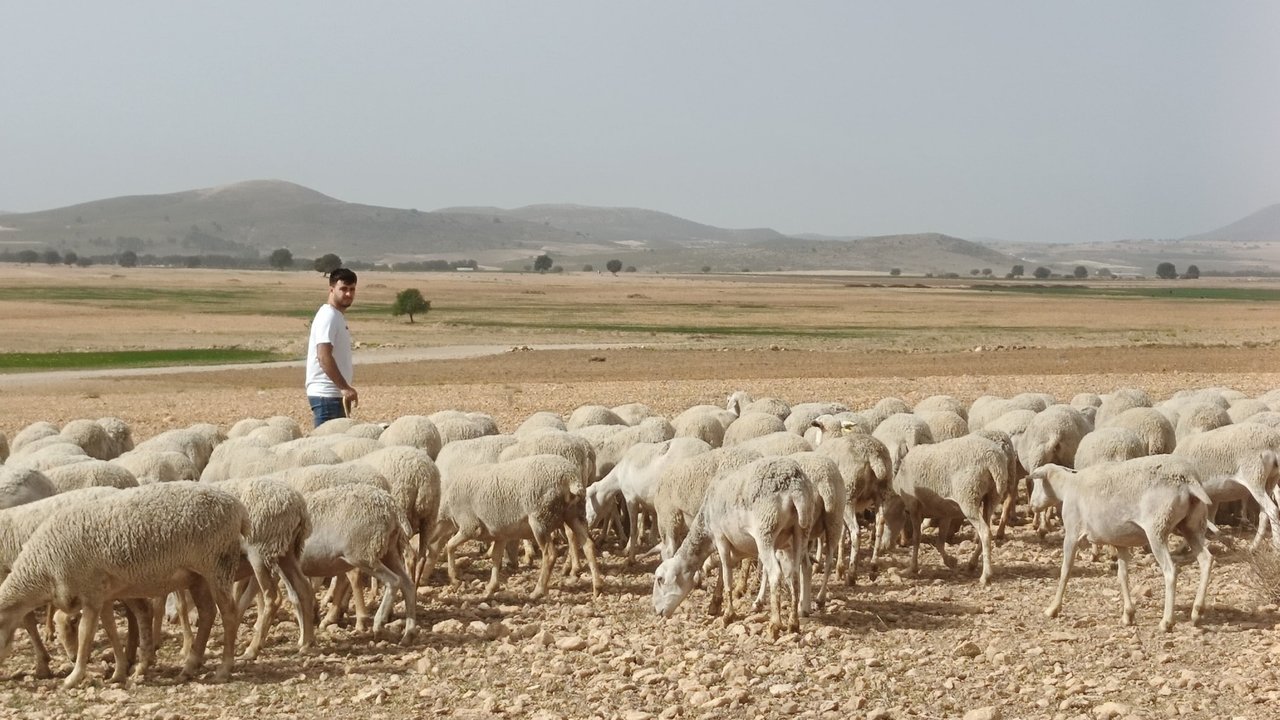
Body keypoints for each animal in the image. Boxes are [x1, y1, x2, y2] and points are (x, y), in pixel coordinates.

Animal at [0, 479, 244, 686]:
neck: (43, 568)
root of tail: (236, 506)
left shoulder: (91, 593)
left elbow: (85, 634)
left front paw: (73, 677)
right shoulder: (103, 595)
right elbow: (110, 630)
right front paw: (118, 672)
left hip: (216, 565)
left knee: (229, 615)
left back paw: (223, 669)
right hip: (197, 576)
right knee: (207, 613)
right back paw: (188, 668)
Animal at [298, 481, 414, 638]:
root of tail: (391, 504)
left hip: (363, 555)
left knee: (394, 581)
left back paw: (378, 623)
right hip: (388, 552)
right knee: (408, 585)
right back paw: (409, 633)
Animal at [655, 453, 814, 632]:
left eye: (660, 579)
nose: (657, 612)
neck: (705, 525)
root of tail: (795, 487)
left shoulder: (720, 537)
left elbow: (726, 574)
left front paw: (727, 615)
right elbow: (722, 573)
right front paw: (715, 604)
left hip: (766, 530)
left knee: (776, 573)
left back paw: (775, 623)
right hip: (800, 532)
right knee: (795, 574)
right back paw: (794, 622)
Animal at [890, 430, 1008, 584]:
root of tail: (993, 460)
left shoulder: (914, 506)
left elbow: (917, 537)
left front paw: (912, 568)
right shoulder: (945, 512)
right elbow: (940, 541)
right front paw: (950, 561)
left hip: (968, 496)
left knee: (985, 532)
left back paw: (985, 575)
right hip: (992, 497)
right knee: (987, 527)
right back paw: (972, 564)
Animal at [1024, 458, 1213, 627]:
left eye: (1038, 483)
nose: (1031, 505)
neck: (1067, 486)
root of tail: (1189, 480)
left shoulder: (1072, 532)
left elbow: (1065, 571)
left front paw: (1053, 609)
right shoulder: (1120, 541)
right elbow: (1123, 576)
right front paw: (1128, 614)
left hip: (1157, 528)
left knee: (1170, 570)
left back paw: (1167, 621)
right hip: (1192, 525)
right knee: (1206, 559)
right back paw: (1197, 611)